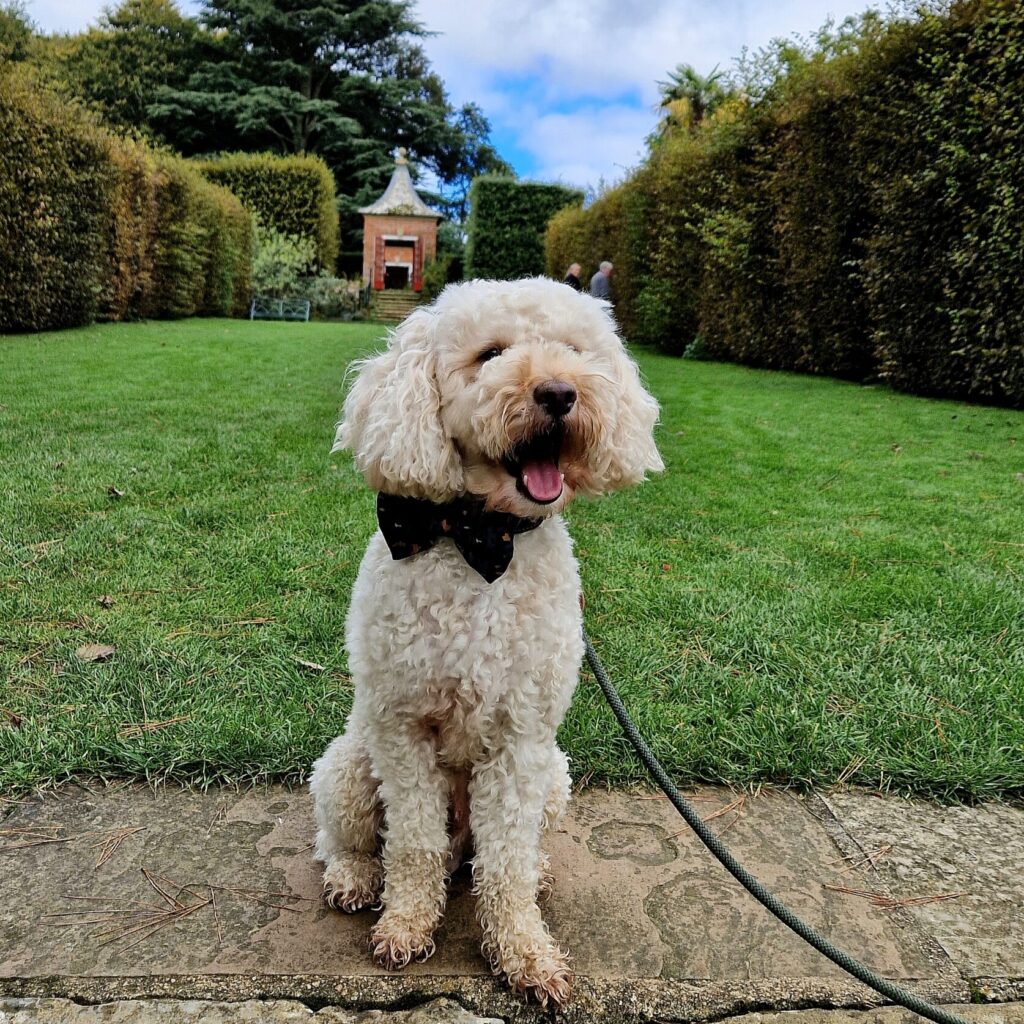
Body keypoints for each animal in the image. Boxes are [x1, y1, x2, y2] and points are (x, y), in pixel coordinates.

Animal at [309, 276, 663, 1003]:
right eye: (490, 354)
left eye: (574, 350)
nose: (559, 392)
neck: (480, 540)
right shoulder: (403, 730)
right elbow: (412, 843)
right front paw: (406, 926)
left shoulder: (522, 740)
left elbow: (504, 863)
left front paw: (523, 953)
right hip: (350, 767)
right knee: (347, 840)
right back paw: (356, 879)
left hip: (554, 777)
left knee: (491, 854)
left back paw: (535, 870)